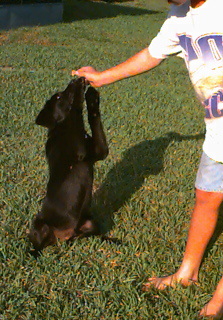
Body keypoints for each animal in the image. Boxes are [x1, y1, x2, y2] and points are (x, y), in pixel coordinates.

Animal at [28, 77, 109, 252]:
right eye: (58, 97)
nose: (74, 79)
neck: (62, 129)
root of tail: (61, 236)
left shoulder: (100, 151)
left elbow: (94, 119)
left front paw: (92, 98)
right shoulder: (78, 150)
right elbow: (75, 111)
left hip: (90, 222)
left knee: (83, 236)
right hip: (39, 224)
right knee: (37, 245)